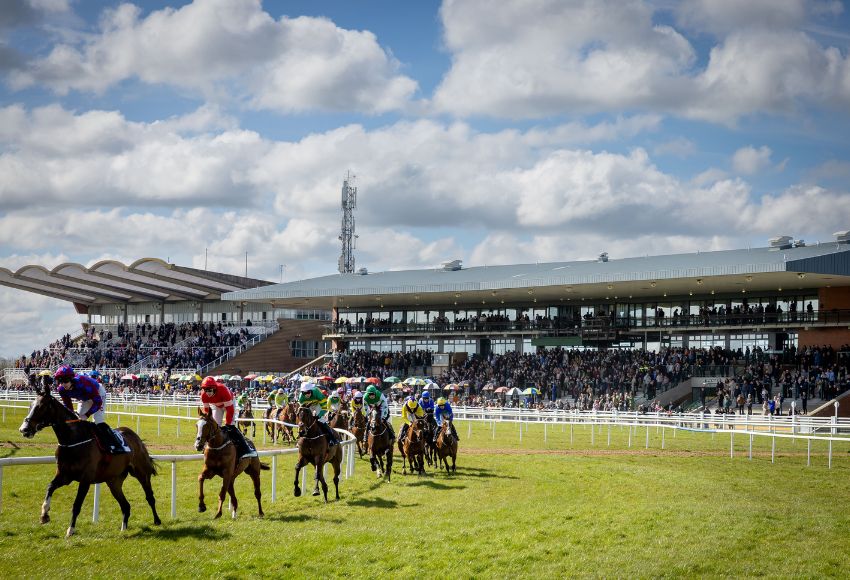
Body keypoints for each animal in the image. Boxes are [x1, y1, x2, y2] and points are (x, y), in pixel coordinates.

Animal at [17, 378, 161, 536]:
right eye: (30, 405)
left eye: (41, 407)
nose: (24, 429)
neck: (73, 440)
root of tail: (135, 437)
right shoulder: (64, 475)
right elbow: (50, 487)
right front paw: (44, 514)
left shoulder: (85, 479)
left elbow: (76, 505)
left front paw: (70, 530)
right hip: (114, 481)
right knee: (126, 506)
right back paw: (123, 529)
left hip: (141, 473)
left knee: (150, 497)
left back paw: (157, 520)